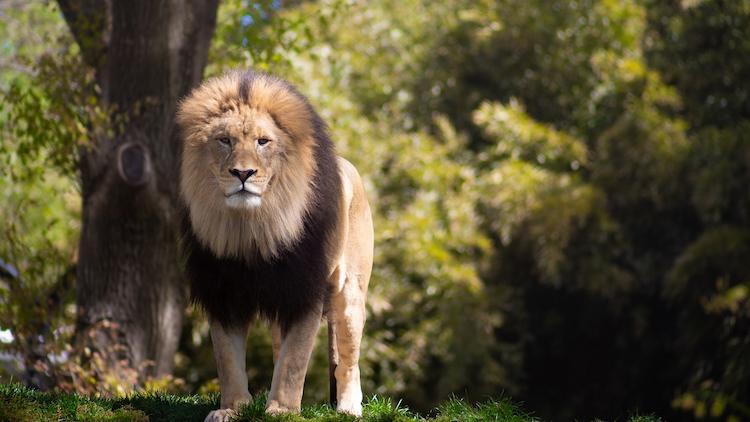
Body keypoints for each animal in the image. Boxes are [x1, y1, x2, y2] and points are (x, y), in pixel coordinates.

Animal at [176, 69, 373, 422]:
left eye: (262, 141)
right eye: (224, 140)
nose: (242, 173)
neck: (253, 227)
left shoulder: (304, 289)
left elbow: (295, 361)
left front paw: (281, 410)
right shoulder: (223, 292)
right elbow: (228, 360)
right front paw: (232, 408)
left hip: (350, 293)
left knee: (348, 360)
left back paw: (349, 407)